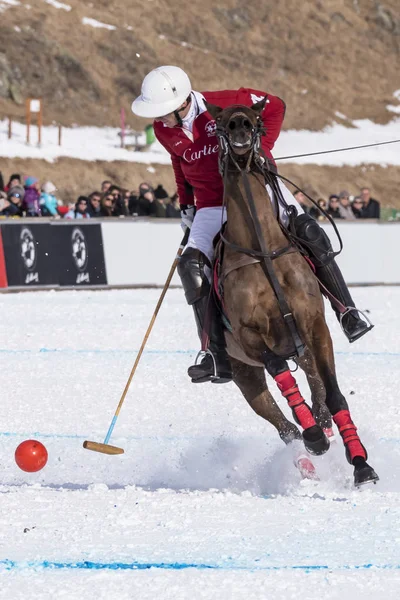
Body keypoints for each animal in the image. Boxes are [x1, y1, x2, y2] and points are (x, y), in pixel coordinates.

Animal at [208, 99, 380, 488]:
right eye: (219, 122)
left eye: (256, 119)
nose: (240, 127)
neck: (262, 247)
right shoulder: (249, 336)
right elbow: (281, 375)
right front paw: (314, 438)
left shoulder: (315, 326)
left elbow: (334, 394)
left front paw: (361, 463)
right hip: (242, 371)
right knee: (284, 425)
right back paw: (308, 453)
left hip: (303, 349)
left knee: (318, 391)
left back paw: (324, 428)